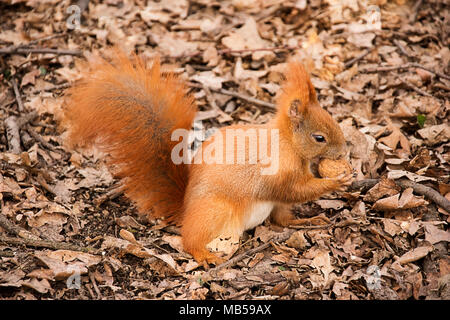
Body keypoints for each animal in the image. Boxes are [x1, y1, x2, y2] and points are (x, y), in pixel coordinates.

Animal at [62, 52, 352, 264]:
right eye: (319, 138)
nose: (343, 152)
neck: (288, 144)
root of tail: (186, 208)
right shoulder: (276, 172)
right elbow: (293, 190)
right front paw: (336, 181)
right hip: (215, 210)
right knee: (189, 241)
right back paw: (204, 255)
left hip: (264, 208)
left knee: (282, 219)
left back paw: (307, 221)